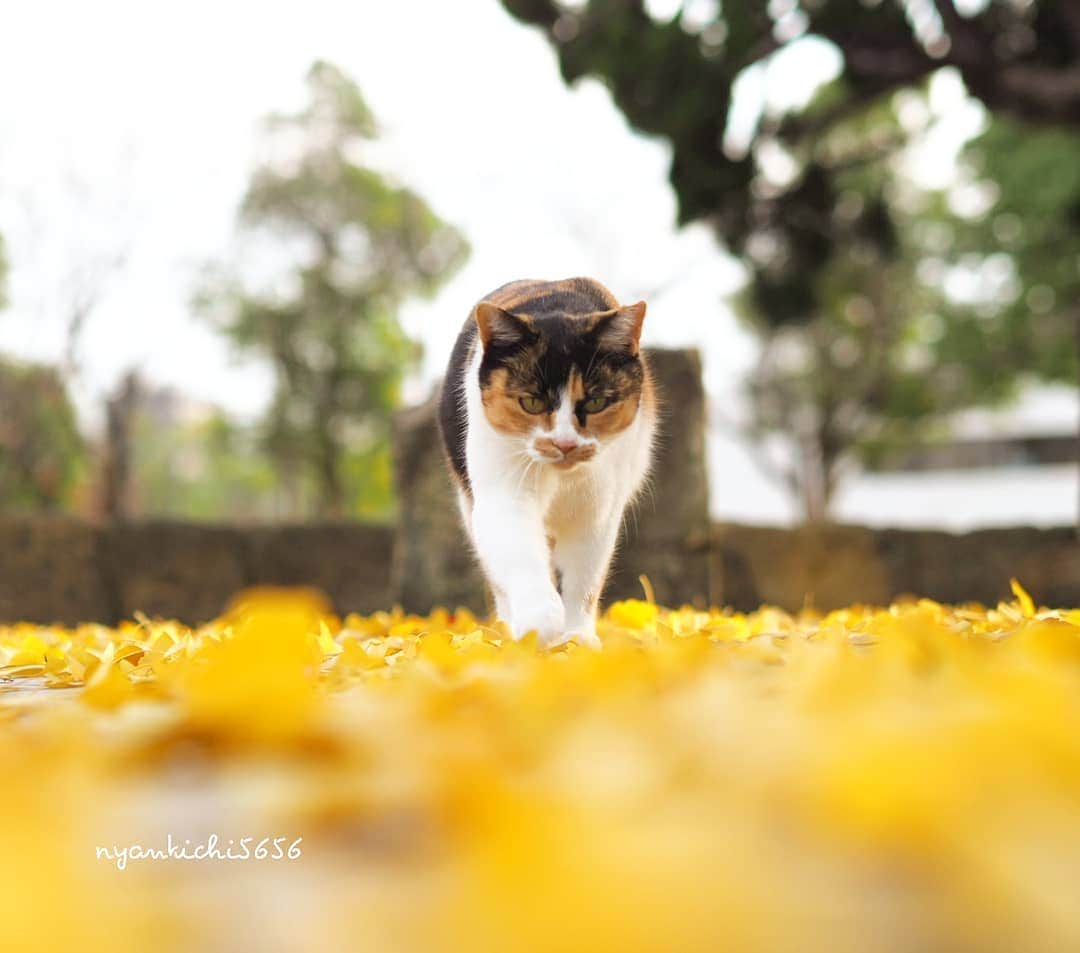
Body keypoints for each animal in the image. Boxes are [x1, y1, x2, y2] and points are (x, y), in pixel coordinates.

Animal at [438, 274, 656, 648]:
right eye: (532, 402)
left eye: (596, 402)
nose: (565, 443)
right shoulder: (503, 492)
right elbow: (521, 552)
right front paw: (540, 622)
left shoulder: (597, 509)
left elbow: (584, 579)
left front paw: (578, 636)